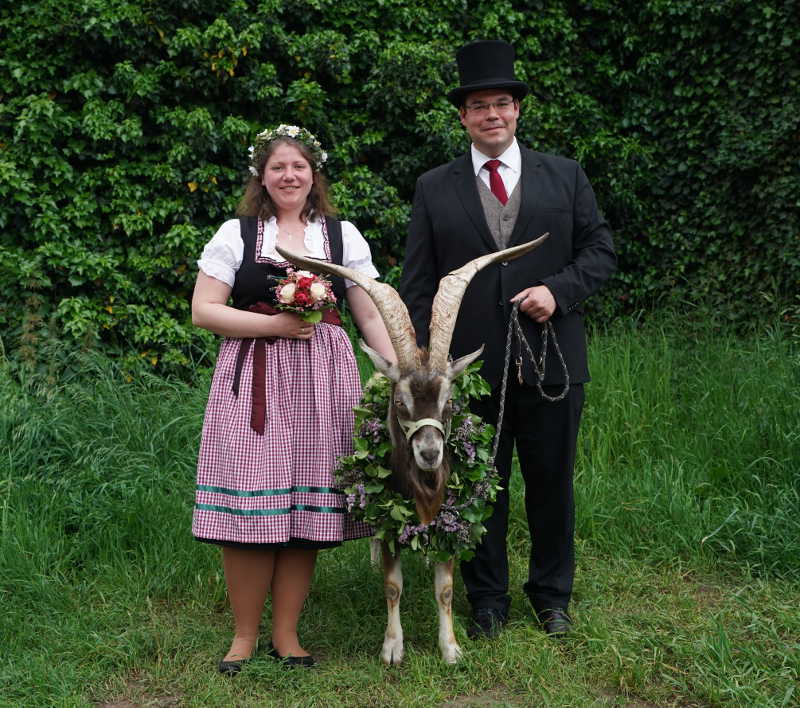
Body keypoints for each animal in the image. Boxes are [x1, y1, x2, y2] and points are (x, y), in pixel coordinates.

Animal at [278, 236, 548, 664]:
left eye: (449, 402)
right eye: (400, 402)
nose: (429, 453)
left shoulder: (451, 517)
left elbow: (446, 589)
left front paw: (451, 648)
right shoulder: (388, 520)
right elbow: (392, 585)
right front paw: (392, 648)